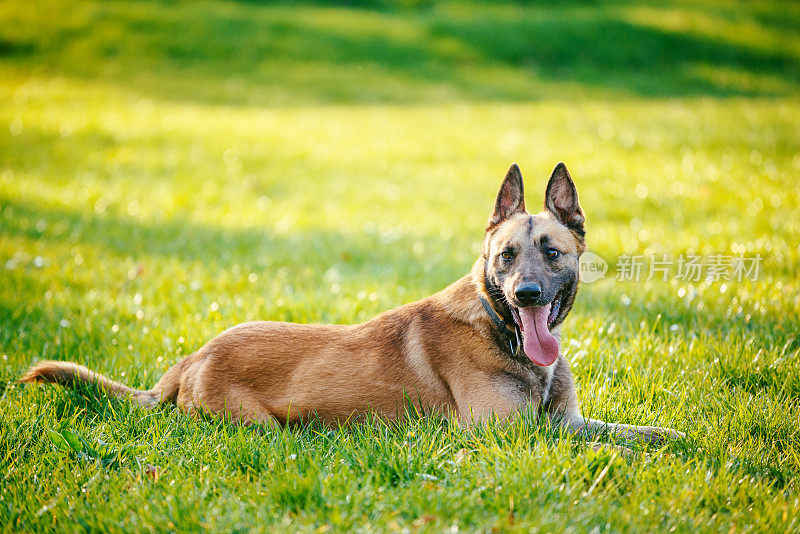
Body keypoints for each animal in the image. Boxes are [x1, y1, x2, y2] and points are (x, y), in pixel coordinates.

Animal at [25, 162, 684, 444]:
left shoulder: (566, 421)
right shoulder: (510, 436)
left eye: (550, 251)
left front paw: (679, 440)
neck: (501, 328)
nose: (526, 294)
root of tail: (192, 358)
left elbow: (638, 433)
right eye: (504, 256)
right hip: (259, 425)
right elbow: (596, 444)